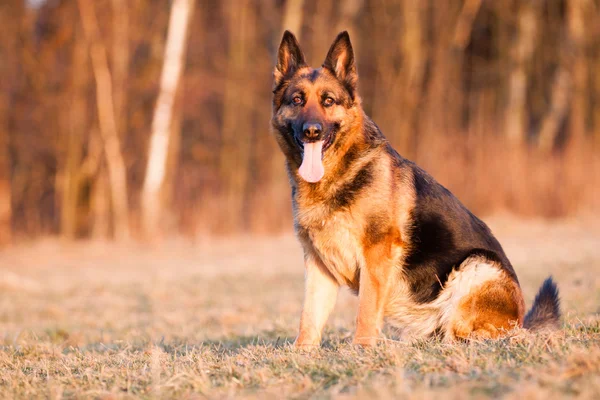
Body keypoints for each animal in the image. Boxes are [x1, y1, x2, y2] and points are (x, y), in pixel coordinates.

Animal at [270, 31, 560, 346]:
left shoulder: (375, 256)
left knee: (469, 333)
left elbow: (365, 311)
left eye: (328, 100)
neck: (337, 175)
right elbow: (308, 318)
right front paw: (303, 351)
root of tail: (520, 319)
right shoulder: (318, 266)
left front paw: (362, 348)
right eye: (297, 100)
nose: (312, 131)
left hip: (476, 266)